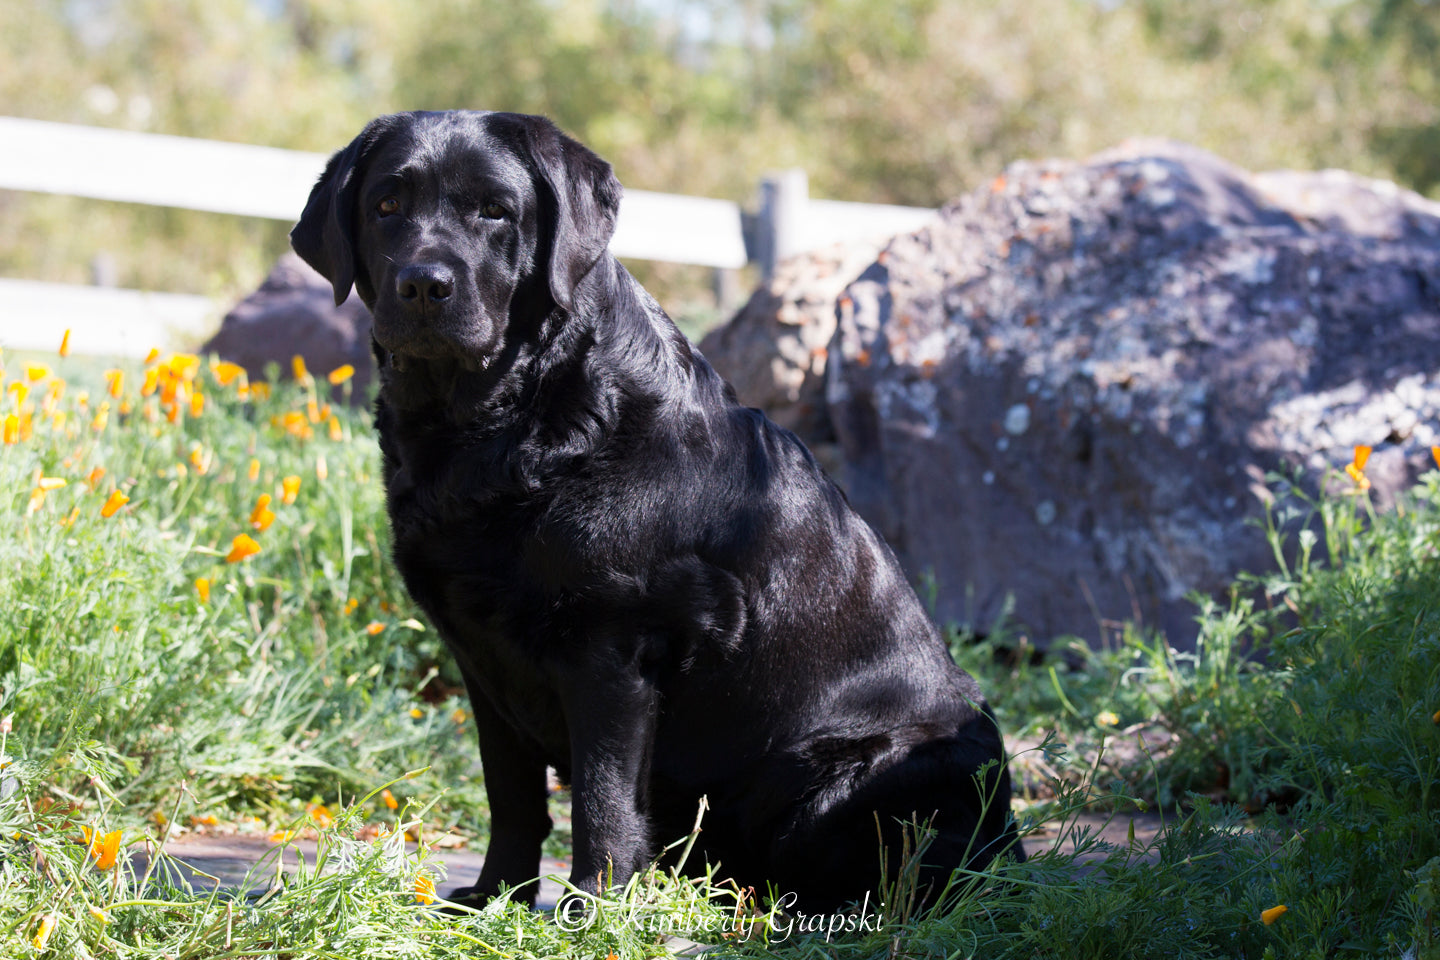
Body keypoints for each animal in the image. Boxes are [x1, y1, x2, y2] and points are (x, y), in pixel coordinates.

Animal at [286, 108, 1019, 915]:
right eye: (386, 204)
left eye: (495, 211)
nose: (423, 283)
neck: (505, 422)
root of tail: (1011, 843)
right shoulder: (482, 658)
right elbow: (511, 792)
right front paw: (492, 897)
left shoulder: (612, 644)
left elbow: (602, 796)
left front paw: (589, 907)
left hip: (844, 772)